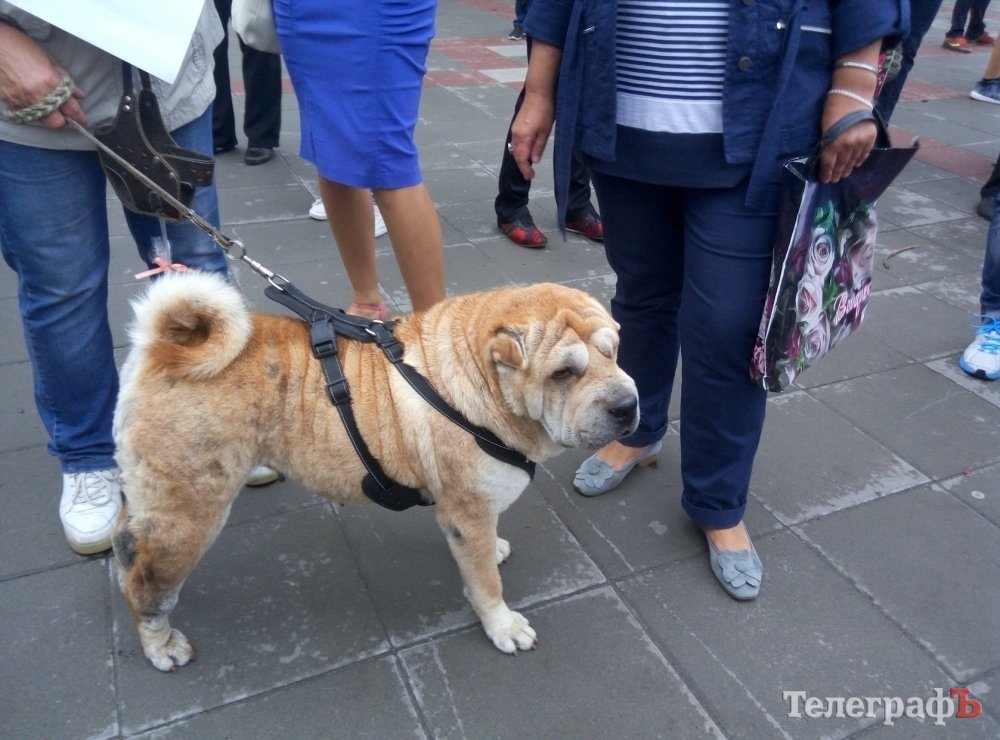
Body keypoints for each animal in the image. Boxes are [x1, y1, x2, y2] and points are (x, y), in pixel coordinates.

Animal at [112, 271, 638, 671]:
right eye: (563, 373)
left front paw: (496, 550)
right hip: (191, 515)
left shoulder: (468, 516)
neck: (480, 381)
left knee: (128, 539)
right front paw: (503, 627)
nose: (628, 405)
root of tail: (161, 347)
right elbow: (487, 584)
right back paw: (162, 645)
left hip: (155, 496)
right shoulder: (467, 514)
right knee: (147, 585)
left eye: (613, 350)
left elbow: (483, 555)